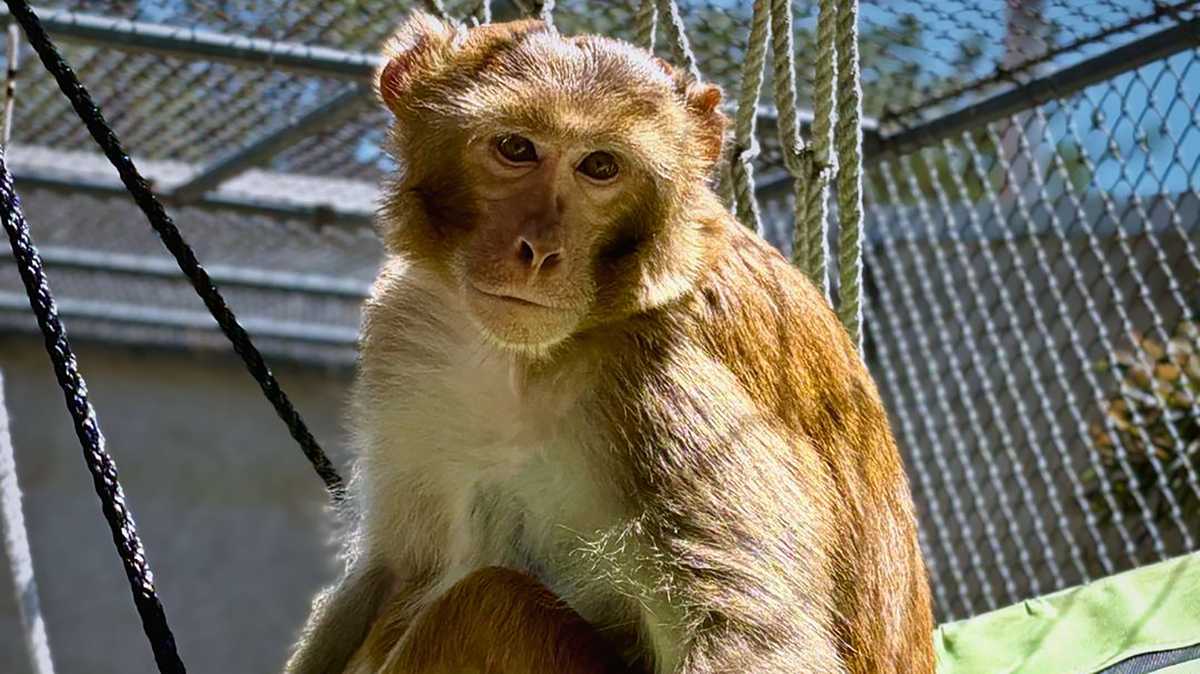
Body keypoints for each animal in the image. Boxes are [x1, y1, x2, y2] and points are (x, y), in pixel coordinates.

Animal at [285, 11, 935, 674]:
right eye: (516, 149)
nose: (540, 251)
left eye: (600, 167)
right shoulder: (407, 322)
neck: (531, 360)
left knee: (487, 600)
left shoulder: (668, 379)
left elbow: (755, 636)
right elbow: (392, 565)